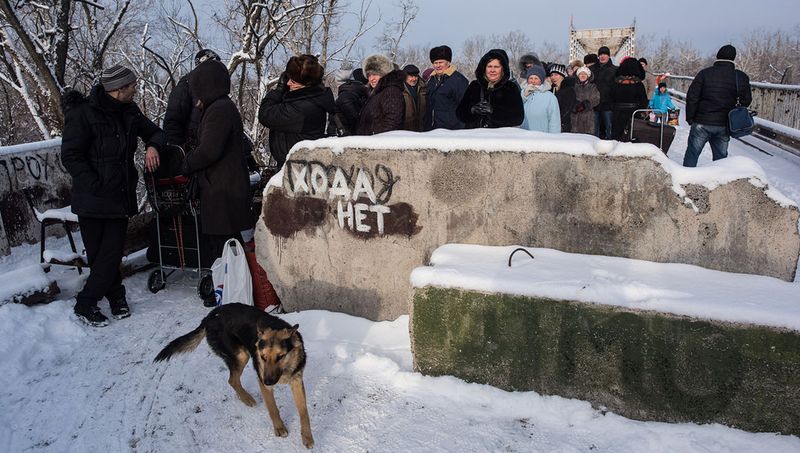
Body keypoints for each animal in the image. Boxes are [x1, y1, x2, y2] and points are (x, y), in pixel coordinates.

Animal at [155, 302, 314, 446]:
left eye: (280, 356)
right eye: (262, 357)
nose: (268, 381)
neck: (285, 369)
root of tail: (211, 316)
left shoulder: (297, 382)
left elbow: (304, 412)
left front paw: (307, 437)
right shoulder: (264, 383)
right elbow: (273, 408)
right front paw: (279, 428)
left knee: (233, 380)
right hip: (241, 356)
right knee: (232, 380)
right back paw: (247, 398)